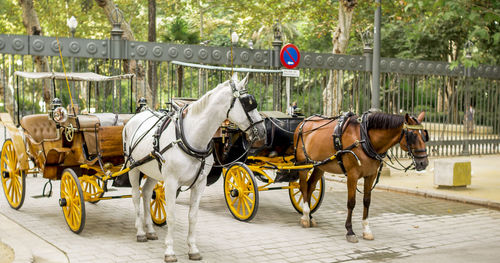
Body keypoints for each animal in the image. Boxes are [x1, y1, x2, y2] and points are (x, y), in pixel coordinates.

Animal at [121, 74, 266, 262]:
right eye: (247, 102)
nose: (262, 131)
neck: (190, 137)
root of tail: (136, 116)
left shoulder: (199, 184)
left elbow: (193, 216)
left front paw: (193, 249)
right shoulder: (171, 182)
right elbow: (172, 216)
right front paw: (169, 251)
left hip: (152, 170)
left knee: (146, 194)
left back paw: (150, 230)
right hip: (133, 168)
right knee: (136, 197)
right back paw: (140, 232)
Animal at [292, 111, 430, 243]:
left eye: (424, 135)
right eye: (412, 135)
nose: (424, 163)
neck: (365, 139)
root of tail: (303, 122)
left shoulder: (370, 175)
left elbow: (367, 201)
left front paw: (366, 229)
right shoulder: (352, 175)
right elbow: (351, 203)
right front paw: (350, 231)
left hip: (320, 166)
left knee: (310, 186)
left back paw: (310, 216)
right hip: (303, 165)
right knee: (303, 186)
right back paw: (305, 217)